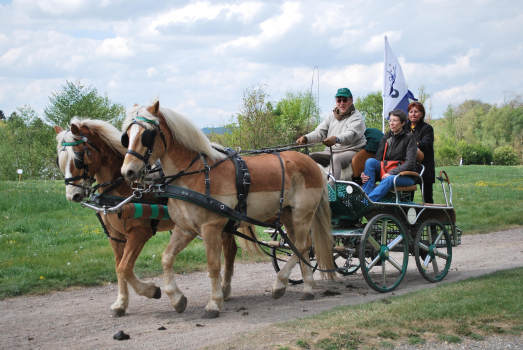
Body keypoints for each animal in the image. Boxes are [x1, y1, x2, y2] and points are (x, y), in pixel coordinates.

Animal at [54, 117, 238, 318]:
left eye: (79, 157)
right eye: (59, 160)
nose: (72, 195)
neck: (125, 185)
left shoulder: (140, 232)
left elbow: (125, 268)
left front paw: (152, 291)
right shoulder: (115, 236)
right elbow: (118, 269)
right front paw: (121, 303)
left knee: (229, 251)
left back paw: (224, 289)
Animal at [122, 101, 336, 320]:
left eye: (146, 135)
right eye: (127, 136)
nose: (127, 171)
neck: (196, 174)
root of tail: (313, 164)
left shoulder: (211, 227)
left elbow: (214, 265)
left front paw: (214, 304)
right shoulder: (185, 229)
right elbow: (167, 258)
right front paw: (176, 298)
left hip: (302, 214)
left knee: (301, 246)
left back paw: (286, 284)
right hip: (287, 215)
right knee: (300, 247)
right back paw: (305, 286)